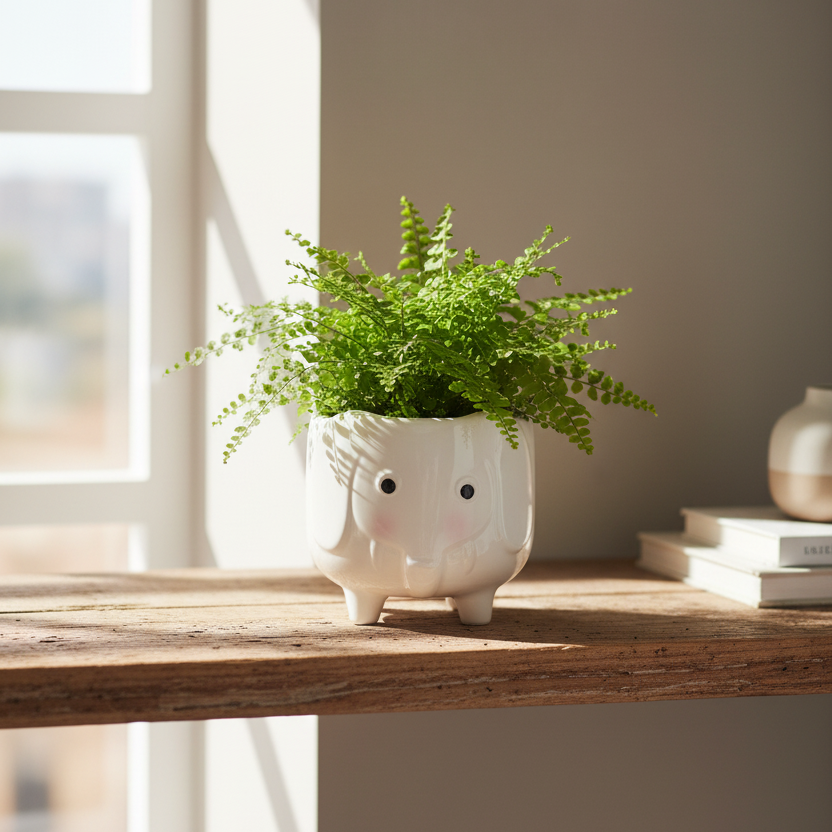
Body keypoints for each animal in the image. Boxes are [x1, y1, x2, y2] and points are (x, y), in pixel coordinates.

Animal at [306, 410, 535, 625]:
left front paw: (476, 620)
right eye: (387, 485)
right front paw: (362, 621)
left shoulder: (480, 589)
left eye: (467, 491)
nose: (423, 568)